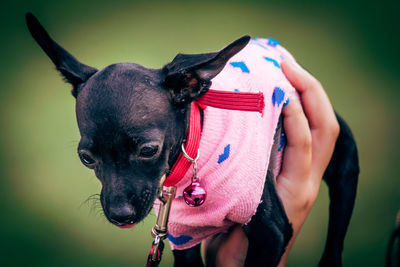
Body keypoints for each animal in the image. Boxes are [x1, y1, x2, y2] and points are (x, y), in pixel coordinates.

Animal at [25, 13, 360, 267]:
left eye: (148, 150)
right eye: (86, 158)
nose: (120, 215)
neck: (197, 153)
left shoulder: (271, 233)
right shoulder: (181, 238)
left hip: (344, 159)